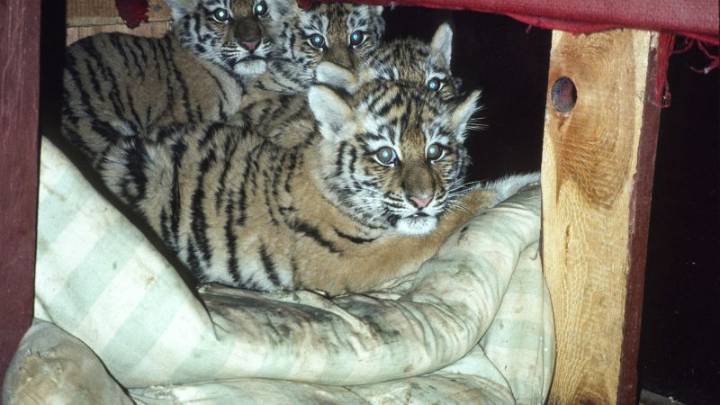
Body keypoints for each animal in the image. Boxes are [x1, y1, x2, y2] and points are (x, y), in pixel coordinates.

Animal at [94, 78, 490, 295]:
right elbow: (423, 237)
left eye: (435, 151)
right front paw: (493, 191)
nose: (422, 199)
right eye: (385, 155)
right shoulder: (346, 262)